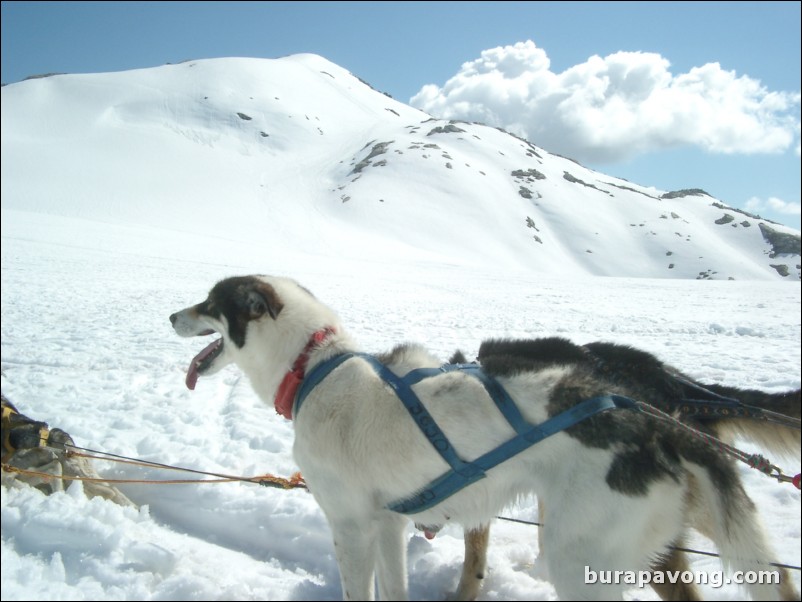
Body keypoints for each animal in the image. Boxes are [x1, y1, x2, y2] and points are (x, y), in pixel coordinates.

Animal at [167, 276, 792, 600]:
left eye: (209, 302)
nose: (172, 315)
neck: (315, 366)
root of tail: (657, 418)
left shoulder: (349, 526)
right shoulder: (388, 524)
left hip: (577, 559)